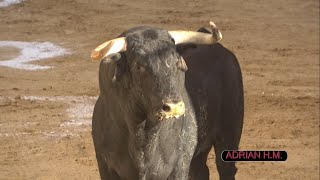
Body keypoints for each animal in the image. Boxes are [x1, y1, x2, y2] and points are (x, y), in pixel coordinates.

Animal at [91, 26, 244, 179]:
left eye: (176, 61)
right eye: (139, 65)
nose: (174, 108)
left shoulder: (180, 165)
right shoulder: (105, 165)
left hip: (229, 135)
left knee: (226, 169)